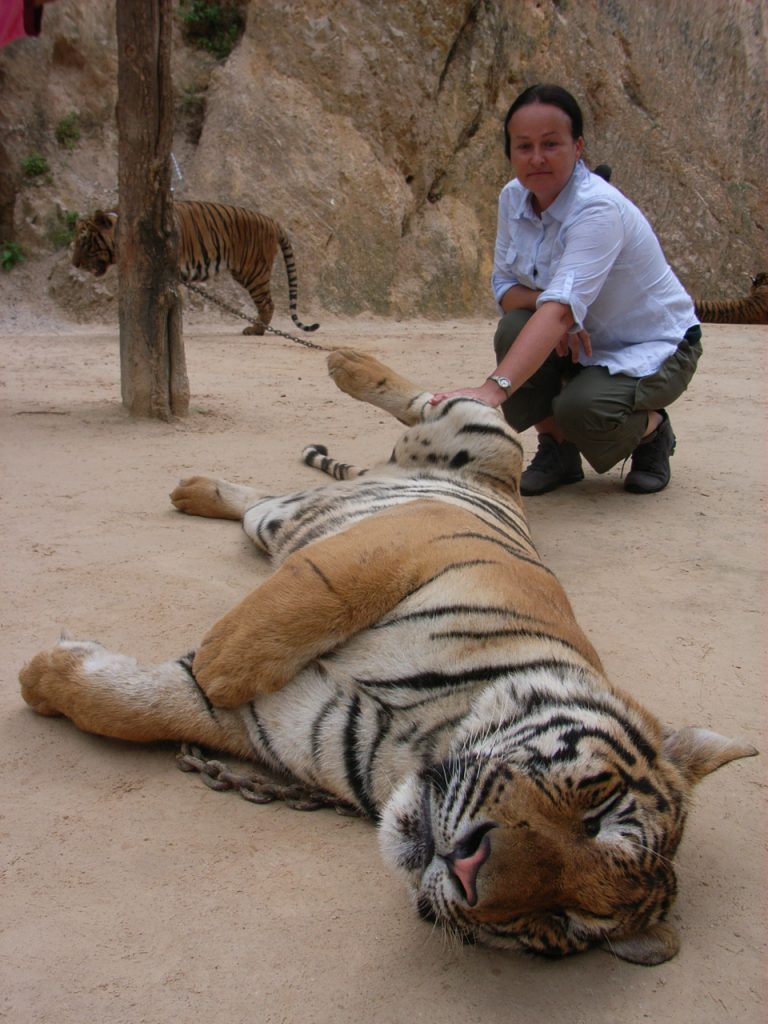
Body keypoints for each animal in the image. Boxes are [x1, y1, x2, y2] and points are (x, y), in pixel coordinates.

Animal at [19, 348, 757, 962]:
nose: (467, 868)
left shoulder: (278, 721)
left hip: (280, 519)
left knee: (264, 501)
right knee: (435, 399)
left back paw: (194, 489)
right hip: (484, 440)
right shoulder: (411, 543)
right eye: (598, 813)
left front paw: (46, 677)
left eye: (558, 920)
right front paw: (217, 665)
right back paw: (342, 364)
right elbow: (305, 600)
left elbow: (135, 706)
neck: (422, 734)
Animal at [73, 201, 319, 337]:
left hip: (252, 271)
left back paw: (255, 330)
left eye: (84, 241)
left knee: (267, 303)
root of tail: (271, 220)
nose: (74, 263)